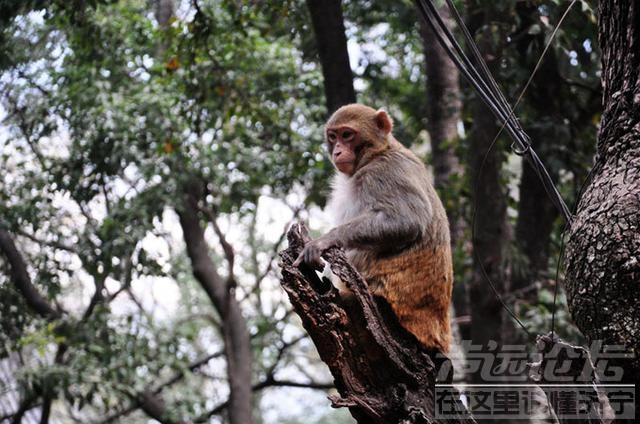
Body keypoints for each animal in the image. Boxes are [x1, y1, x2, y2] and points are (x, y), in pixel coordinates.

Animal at [296, 102, 456, 354]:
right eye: (333, 136)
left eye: (347, 135)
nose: (337, 151)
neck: (378, 153)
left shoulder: (383, 173)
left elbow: (407, 221)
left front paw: (324, 241)